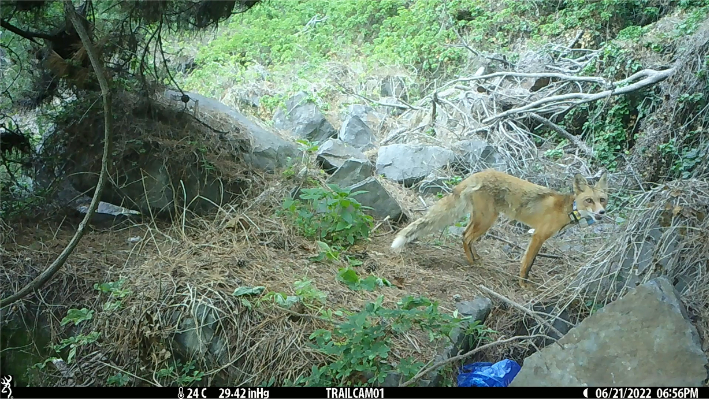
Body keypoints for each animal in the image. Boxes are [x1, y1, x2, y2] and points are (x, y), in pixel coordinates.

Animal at [392, 170, 608, 290]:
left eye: (602, 199)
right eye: (589, 200)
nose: (602, 212)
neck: (568, 209)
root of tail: (477, 174)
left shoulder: (536, 235)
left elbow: (528, 262)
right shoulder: (538, 236)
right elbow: (527, 264)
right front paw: (523, 285)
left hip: (481, 218)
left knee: (466, 235)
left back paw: (476, 258)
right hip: (487, 219)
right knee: (466, 236)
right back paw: (472, 263)